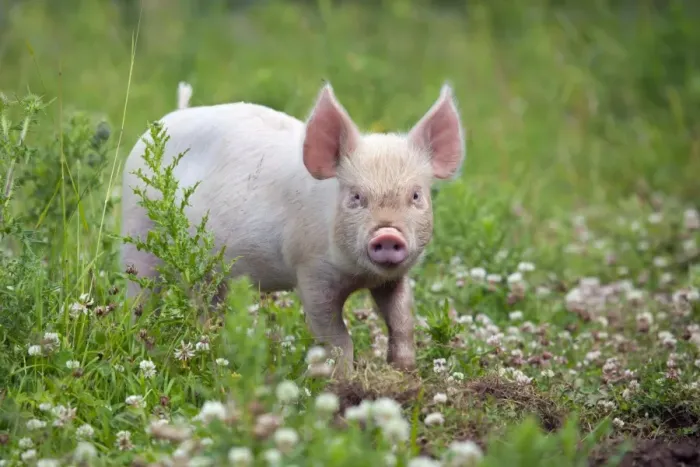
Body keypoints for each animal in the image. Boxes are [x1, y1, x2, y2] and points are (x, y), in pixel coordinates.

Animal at [120, 82, 466, 376]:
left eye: (416, 196)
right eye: (355, 197)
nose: (388, 234)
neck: (359, 275)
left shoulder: (394, 277)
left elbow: (402, 319)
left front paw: (405, 372)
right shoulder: (310, 270)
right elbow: (336, 336)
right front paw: (344, 380)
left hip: (211, 270)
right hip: (137, 232)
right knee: (141, 295)